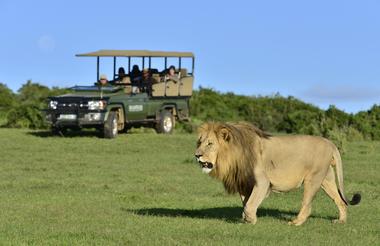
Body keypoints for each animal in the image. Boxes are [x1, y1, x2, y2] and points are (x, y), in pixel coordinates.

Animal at [194, 122, 360, 226]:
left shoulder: (262, 182)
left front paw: (251, 220)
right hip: (327, 179)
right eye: (200, 142)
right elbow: (246, 203)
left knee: (307, 204)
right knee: (340, 201)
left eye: (210, 144)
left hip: (313, 179)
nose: (196, 155)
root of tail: (330, 143)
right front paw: (246, 219)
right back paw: (341, 221)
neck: (233, 156)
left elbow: (250, 204)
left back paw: (296, 222)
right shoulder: (244, 183)